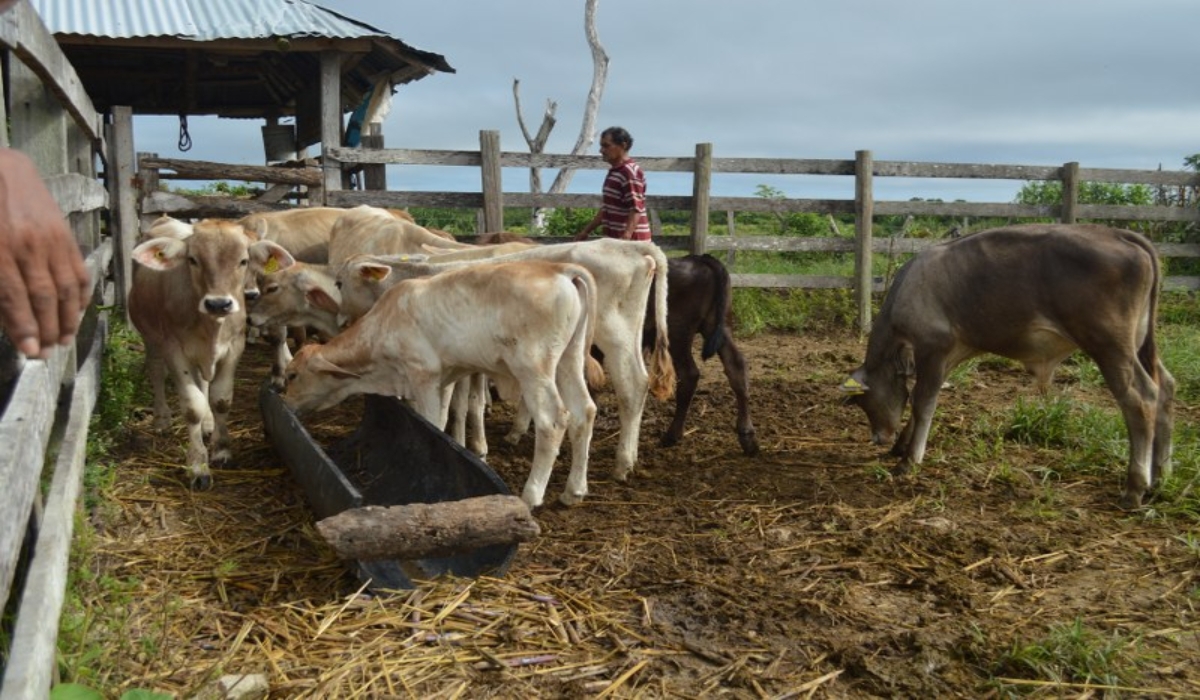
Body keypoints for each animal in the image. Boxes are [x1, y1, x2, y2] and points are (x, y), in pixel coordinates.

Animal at [129, 222, 253, 489]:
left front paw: (221, 450)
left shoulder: (234, 346)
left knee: (203, 383)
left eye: (243, 260)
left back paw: (207, 425)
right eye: (193, 260)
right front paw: (198, 467)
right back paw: (162, 419)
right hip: (150, 336)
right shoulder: (174, 349)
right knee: (156, 370)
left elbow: (221, 399)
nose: (218, 304)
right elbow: (192, 406)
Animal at [280, 260, 604, 506]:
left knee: (553, 421)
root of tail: (560, 268)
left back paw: (531, 495)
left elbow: (431, 422)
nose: (285, 401)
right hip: (569, 359)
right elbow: (446, 415)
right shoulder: (445, 377)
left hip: (534, 368)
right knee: (584, 412)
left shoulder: (422, 375)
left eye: (293, 375)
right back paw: (574, 490)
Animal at [338, 237, 676, 485]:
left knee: (630, 386)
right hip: (623, 337)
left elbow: (460, 403)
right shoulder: (467, 360)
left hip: (612, 336)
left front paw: (467, 445)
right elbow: (466, 400)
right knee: (638, 383)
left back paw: (621, 463)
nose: (340, 319)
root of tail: (633, 246)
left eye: (340, 283)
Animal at [648, 254, 758, 456]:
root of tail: (699, 259)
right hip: (719, 327)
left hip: (677, 334)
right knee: (736, 366)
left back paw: (671, 435)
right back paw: (747, 438)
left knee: (689, 374)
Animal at [844, 224, 1171, 509]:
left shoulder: (934, 347)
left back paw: (1135, 487)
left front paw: (909, 460)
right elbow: (920, 401)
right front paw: (901, 445)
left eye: (864, 401)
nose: (878, 437)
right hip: (1138, 343)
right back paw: (1161, 474)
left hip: (1110, 346)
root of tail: (1117, 233)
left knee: (1141, 398)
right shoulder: (949, 354)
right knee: (1166, 386)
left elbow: (923, 402)